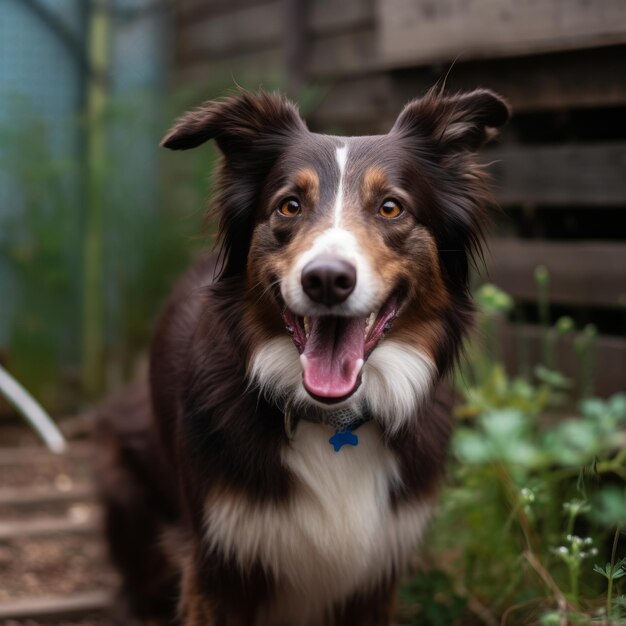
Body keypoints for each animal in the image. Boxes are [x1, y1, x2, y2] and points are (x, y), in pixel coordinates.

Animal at [96, 85, 508, 620]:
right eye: (290, 206)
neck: (331, 420)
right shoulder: (219, 564)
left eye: (390, 208)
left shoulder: (375, 575)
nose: (327, 279)